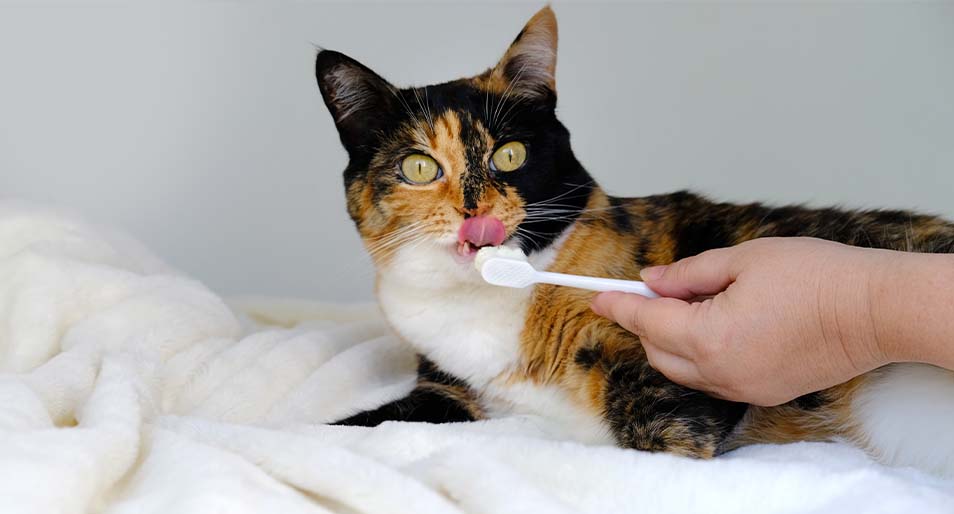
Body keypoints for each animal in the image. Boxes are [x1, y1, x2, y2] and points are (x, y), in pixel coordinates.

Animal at [316, 5, 952, 476]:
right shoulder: (447, 389)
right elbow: (368, 424)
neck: (481, 304)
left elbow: (670, 438)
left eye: (510, 155)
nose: (479, 217)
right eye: (419, 168)